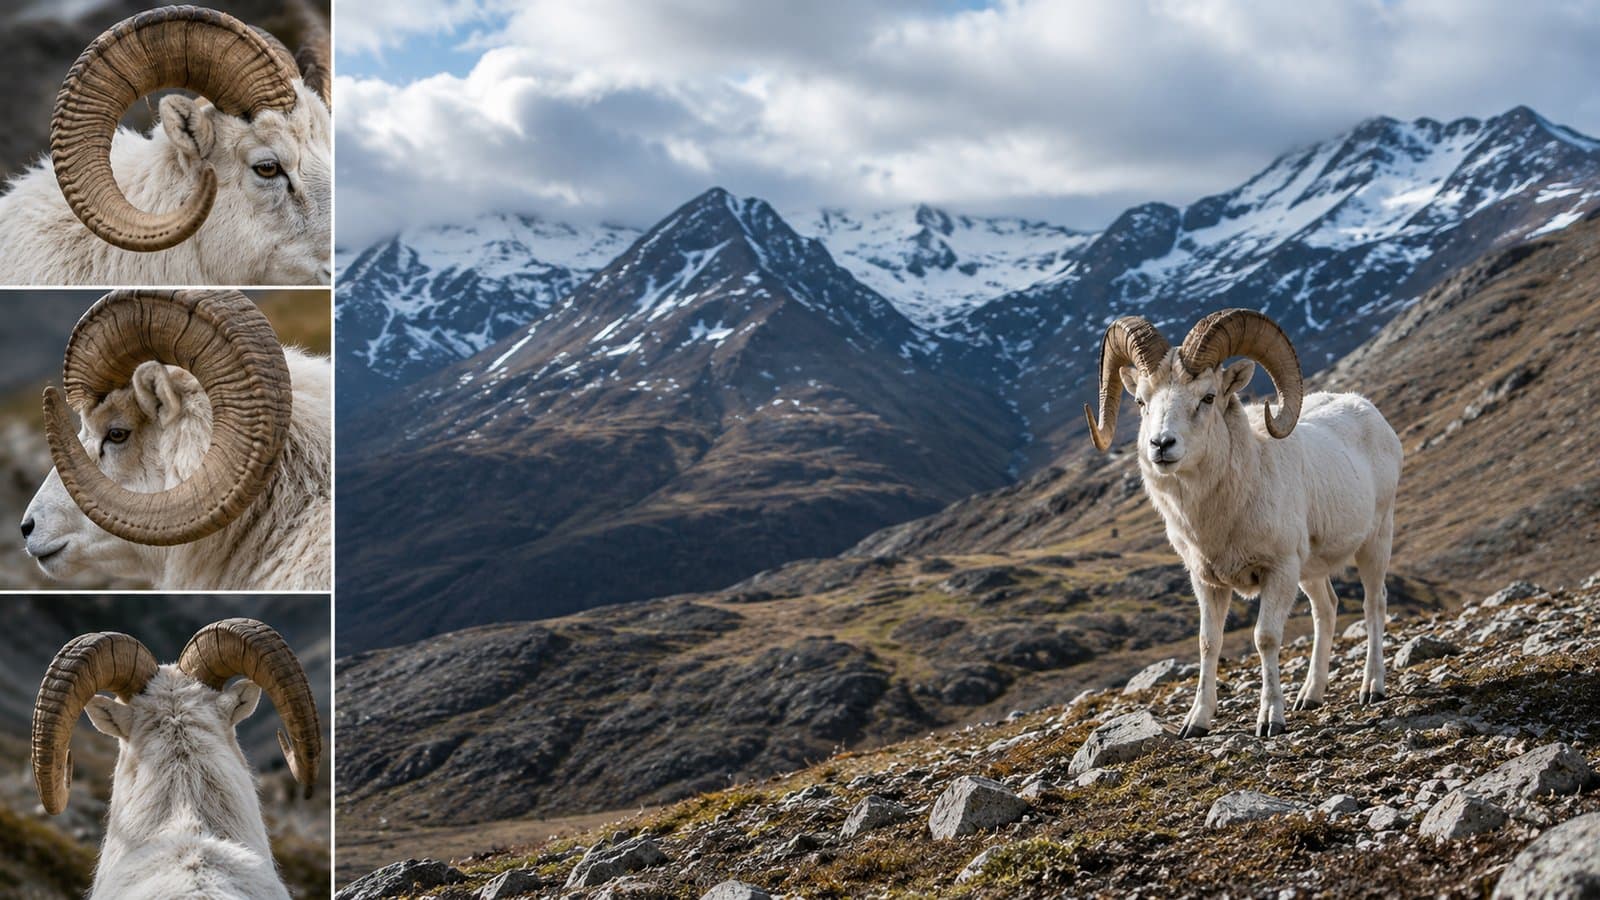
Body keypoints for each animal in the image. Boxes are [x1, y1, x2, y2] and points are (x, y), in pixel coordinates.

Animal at [1084, 309, 1402, 737]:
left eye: (1208, 397)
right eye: (1140, 400)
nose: (1161, 446)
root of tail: (1368, 410)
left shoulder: (1278, 571)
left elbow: (1265, 638)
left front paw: (1270, 720)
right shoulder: (1207, 582)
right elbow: (1209, 642)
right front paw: (1196, 722)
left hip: (1375, 542)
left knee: (1373, 604)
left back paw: (1372, 688)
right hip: (1311, 570)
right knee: (1327, 609)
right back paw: (1310, 696)